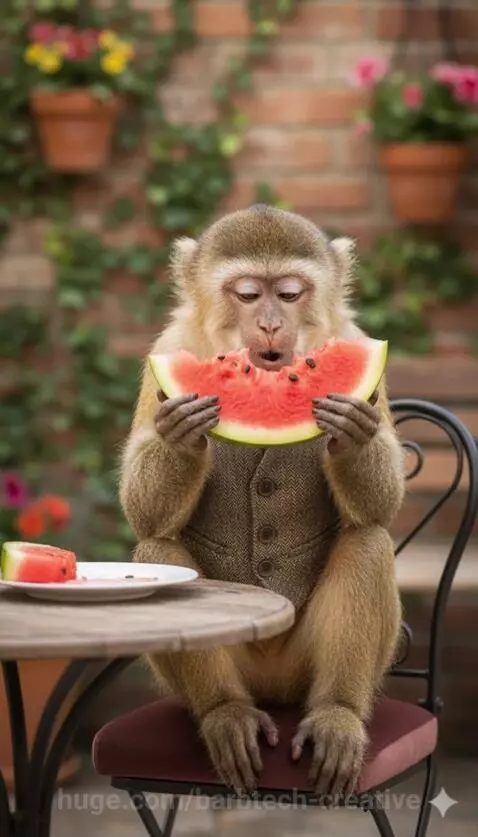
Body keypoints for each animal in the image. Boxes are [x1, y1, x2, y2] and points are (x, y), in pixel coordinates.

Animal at [119, 205, 405, 799]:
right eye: (248, 294)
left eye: (290, 293)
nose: (272, 323)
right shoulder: (166, 348)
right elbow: (143, 512)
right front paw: (179, 437)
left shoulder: (356, 341)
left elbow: (379, 508)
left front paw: (356, 436)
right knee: (156, 548)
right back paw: (225, 712)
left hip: (301, 674)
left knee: (369, 540)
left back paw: (339, 713)